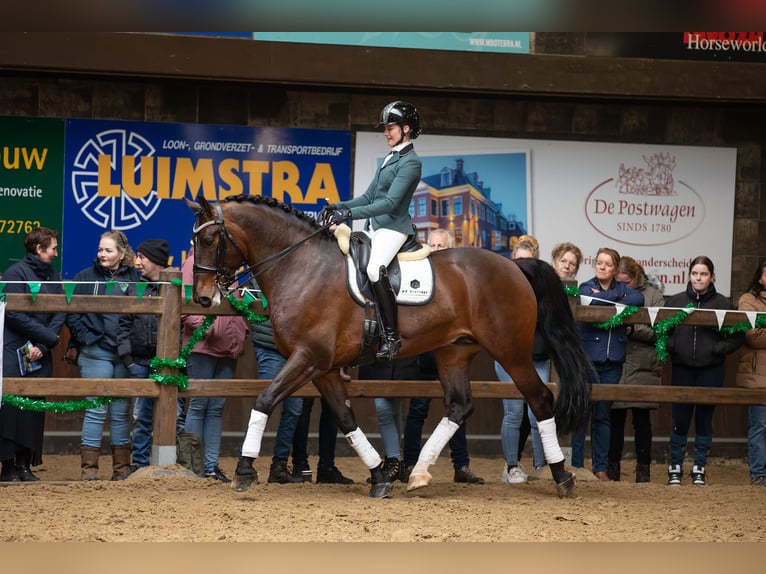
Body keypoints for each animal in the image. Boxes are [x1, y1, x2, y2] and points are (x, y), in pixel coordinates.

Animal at [188, 195, 592, 500]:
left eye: (207, 241)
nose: (203, 298)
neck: (302, 266)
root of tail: (515, 266)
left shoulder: (308, 357)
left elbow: (264, 399)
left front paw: (244, 469)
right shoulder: (324, 367)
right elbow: (345, 418)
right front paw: (380, 476)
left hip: (510, 351)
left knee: (540, 398)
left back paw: (562, 476)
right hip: (454, 352)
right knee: (460, 405)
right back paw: (419, 473)